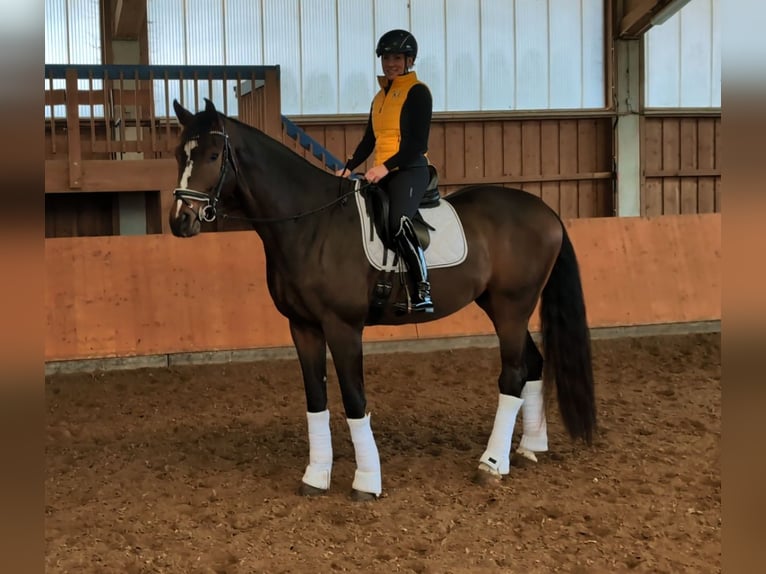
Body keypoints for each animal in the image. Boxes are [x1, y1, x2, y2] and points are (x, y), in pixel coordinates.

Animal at [170, 100, 600, 504]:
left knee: (513, 373)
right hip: (500, 306)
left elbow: (354, 399)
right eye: (179, 154)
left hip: (512, 307)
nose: (179, 221)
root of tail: (547, 212)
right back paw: (528, 448)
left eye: (212, 155)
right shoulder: (303, 326)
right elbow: (316, 399)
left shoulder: (342, 327)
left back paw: (491, 464)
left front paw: (366, 481)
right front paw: (316, 476)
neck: (311, 224)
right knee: (533, 364)